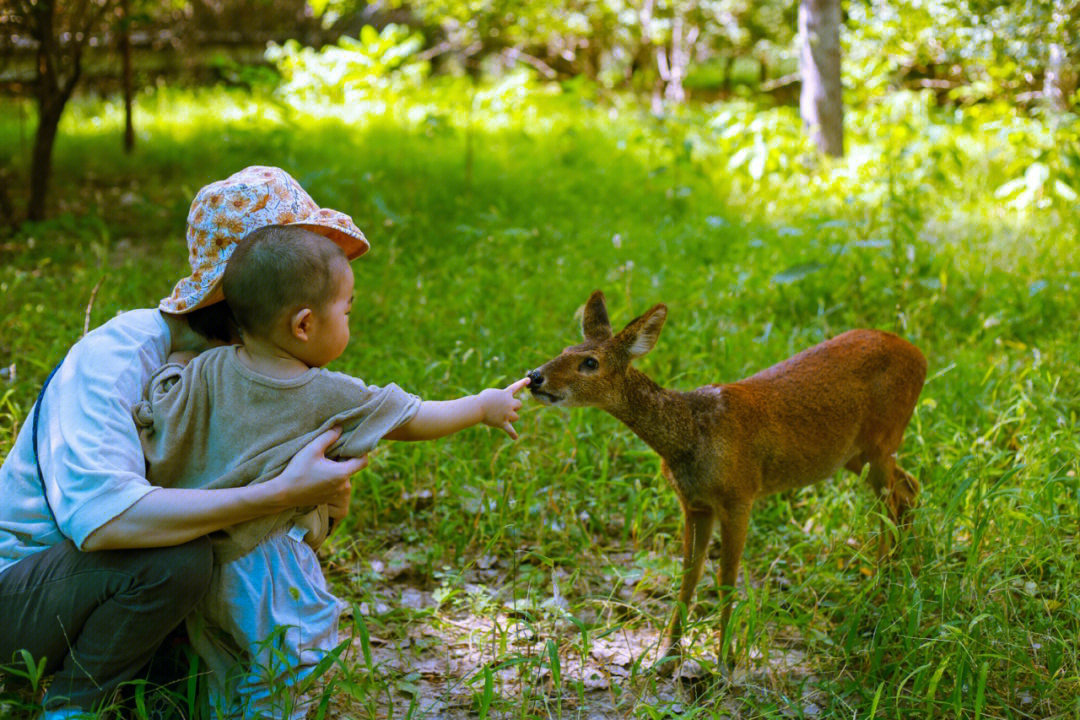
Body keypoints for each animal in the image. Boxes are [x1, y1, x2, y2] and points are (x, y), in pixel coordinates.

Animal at [527, 289, 924, 669]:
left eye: (590, 362)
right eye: (564, 350)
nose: (534, 377)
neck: (690, 436)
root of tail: (920, 354)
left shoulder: (739, 495)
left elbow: (726, 581)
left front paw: (724, 663)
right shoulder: (694, 504)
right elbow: (689, 576)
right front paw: (668, 658)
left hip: (883, 438)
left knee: (894, 499)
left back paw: (885, 583)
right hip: (857, 454)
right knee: (907, 489)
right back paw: (892, 578)